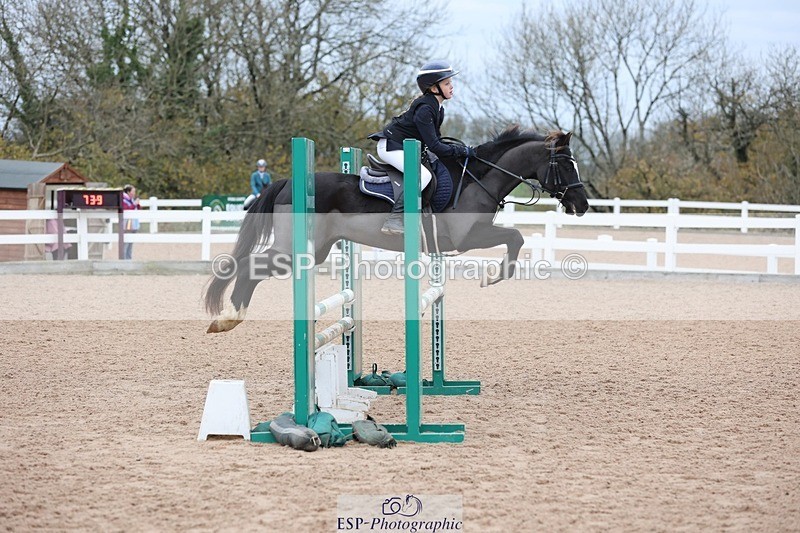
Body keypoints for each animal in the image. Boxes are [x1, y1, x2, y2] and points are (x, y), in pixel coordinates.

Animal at [205, 126, 589, 333]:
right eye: (565, 165)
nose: (582, 205)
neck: (478, 179)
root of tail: (287, 181)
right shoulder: (468, 237)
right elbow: (515, 237)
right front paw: (493, 276)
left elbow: (515, 238)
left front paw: (494, 275)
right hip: (294, 250)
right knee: (250, 266)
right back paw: (230, 317)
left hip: (316, 250)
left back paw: (231, 315)